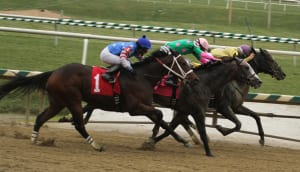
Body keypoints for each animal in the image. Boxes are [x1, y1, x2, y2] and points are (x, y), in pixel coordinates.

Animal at [0, 50, 197, 152]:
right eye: (183, 63)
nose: (194, 78)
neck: (142, 77)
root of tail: (55, 72)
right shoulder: (134, 107)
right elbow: (160, 114)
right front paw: (151, 139)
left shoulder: (145, 105)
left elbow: (162, 119)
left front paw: (180, 140)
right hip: (72, 99)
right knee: (79, 123)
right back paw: (96, 145)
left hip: (58, 102)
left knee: (41, 117)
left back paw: (34, 139)